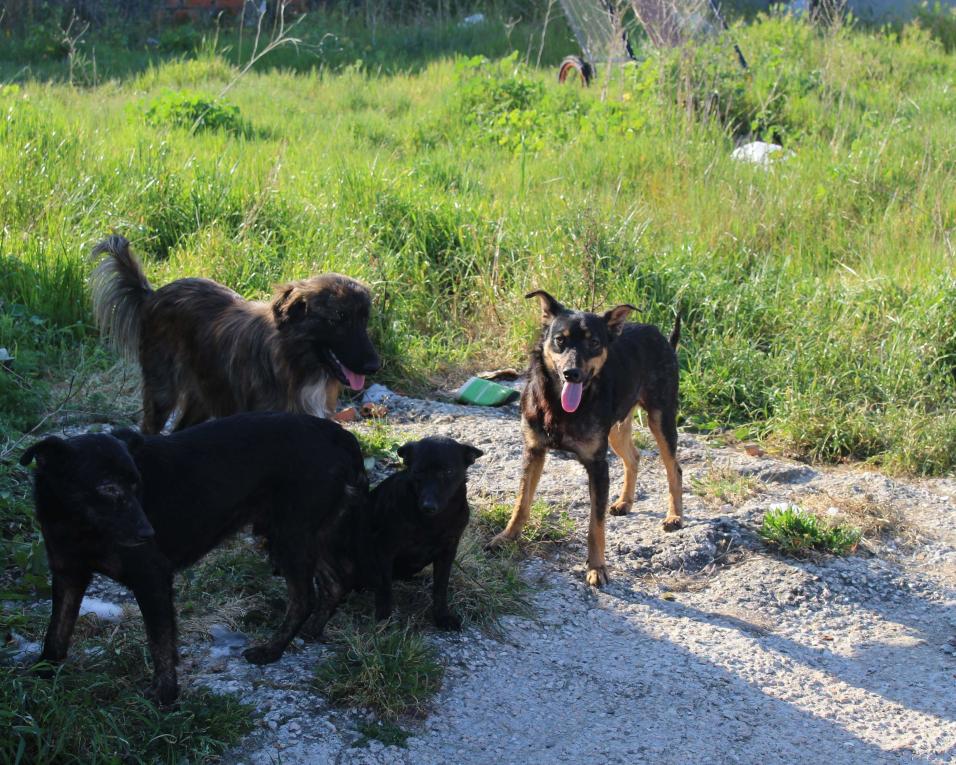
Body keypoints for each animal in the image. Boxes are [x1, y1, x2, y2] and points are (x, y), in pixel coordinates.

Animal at [23, 412, 366, 704]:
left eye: (137, 484)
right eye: (107, 488)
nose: (148, 533)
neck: (78, 526)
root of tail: (338, 433)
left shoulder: (152, 578)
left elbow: (160, 641)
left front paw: (164, 694)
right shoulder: (68, 574)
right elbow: (56, 630)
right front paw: (42, 674)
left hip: (291, 534)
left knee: (304, 597)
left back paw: (272, 649)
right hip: (305, 532)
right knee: (337, 581)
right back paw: (311, 630)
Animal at [90, 236, 380, 432]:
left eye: (364, 319)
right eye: (337, 319)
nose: (374, 366)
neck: (294, 363)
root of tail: (153, 294)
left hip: (203, 395)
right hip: (163, 390)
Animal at [490, 290, 684, 584]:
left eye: (593, 342)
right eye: (560, 340)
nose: (572, 373)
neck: (559, 406)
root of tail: (662, 338)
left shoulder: (597, 465)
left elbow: (596, 523)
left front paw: (596, 567)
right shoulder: (533, 451)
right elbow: (522, 502)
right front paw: (507, 537)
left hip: (661, 419)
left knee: (674, 467)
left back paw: (674, 516)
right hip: (616, 428)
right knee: (634, 457)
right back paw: (625, 502)